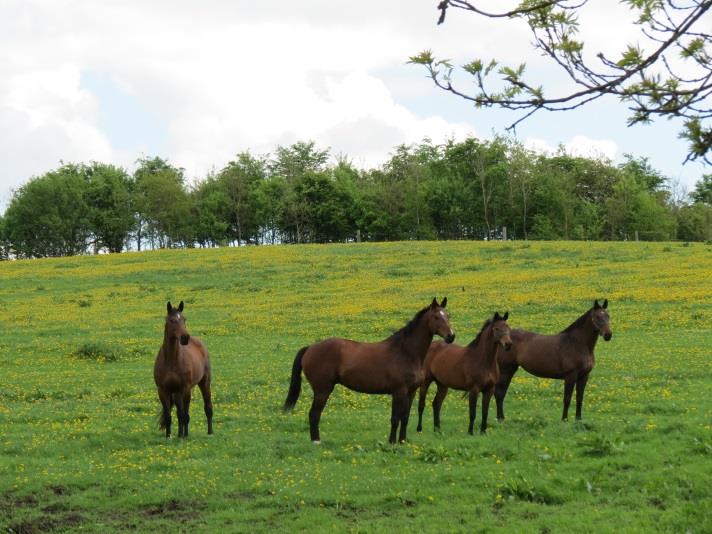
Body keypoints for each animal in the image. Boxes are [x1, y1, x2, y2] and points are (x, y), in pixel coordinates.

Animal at [153, 302, 214, 440]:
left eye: (184, 319)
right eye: (171, 320)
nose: (185, 337)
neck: (171, 360)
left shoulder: (185, 388)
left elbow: (184, 415)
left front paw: (184, 436)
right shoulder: (163, 391)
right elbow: (169, 416)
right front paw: (168, 436)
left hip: (203, 383)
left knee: (206, 407)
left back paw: (209, 432)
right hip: (177, 393)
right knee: (179, 412)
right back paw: (180, 433)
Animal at [284, 300, 456, 446]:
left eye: (448, 315)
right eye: (436, 317)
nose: (451, 336)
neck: (405, 352)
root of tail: (310, 348)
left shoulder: (411, 392)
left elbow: (405, 418)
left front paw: (402, 441)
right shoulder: (398, 391)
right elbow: (395, 418)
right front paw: (392, 442)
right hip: (322, 390)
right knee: (314, 414)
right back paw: (316, 442)